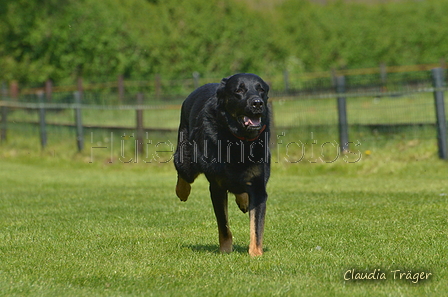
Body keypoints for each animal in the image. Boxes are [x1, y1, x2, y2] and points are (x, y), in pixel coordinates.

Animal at [173, 73, 270, 256]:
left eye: (261, 90)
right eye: (239, 90)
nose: (258, 103)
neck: (238, 140)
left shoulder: (258, 188)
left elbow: (256, 228)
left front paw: (256, 254)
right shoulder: (217, 187)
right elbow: (223, 225)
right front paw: (225, 251)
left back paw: (243, 201)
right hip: (186, 159)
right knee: (182, 172)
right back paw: (182, 191)